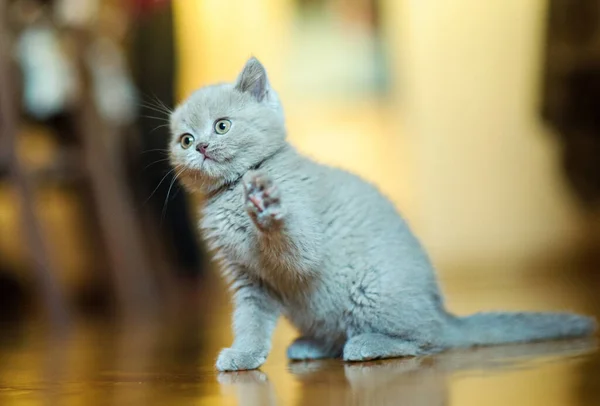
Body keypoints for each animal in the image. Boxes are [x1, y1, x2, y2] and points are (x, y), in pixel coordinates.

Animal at [168, 57, 596, 372]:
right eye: (184, 140)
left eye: (222, 126)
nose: (201, 147)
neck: (229, 191)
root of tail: (444, 313)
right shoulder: (247, 279)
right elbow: (250, 321)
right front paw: (244, 355)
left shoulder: (303, 235)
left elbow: (298, 250)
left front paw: (266, 209)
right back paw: (314, 346)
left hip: (371, 287)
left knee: (427, 339)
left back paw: (367, 344)